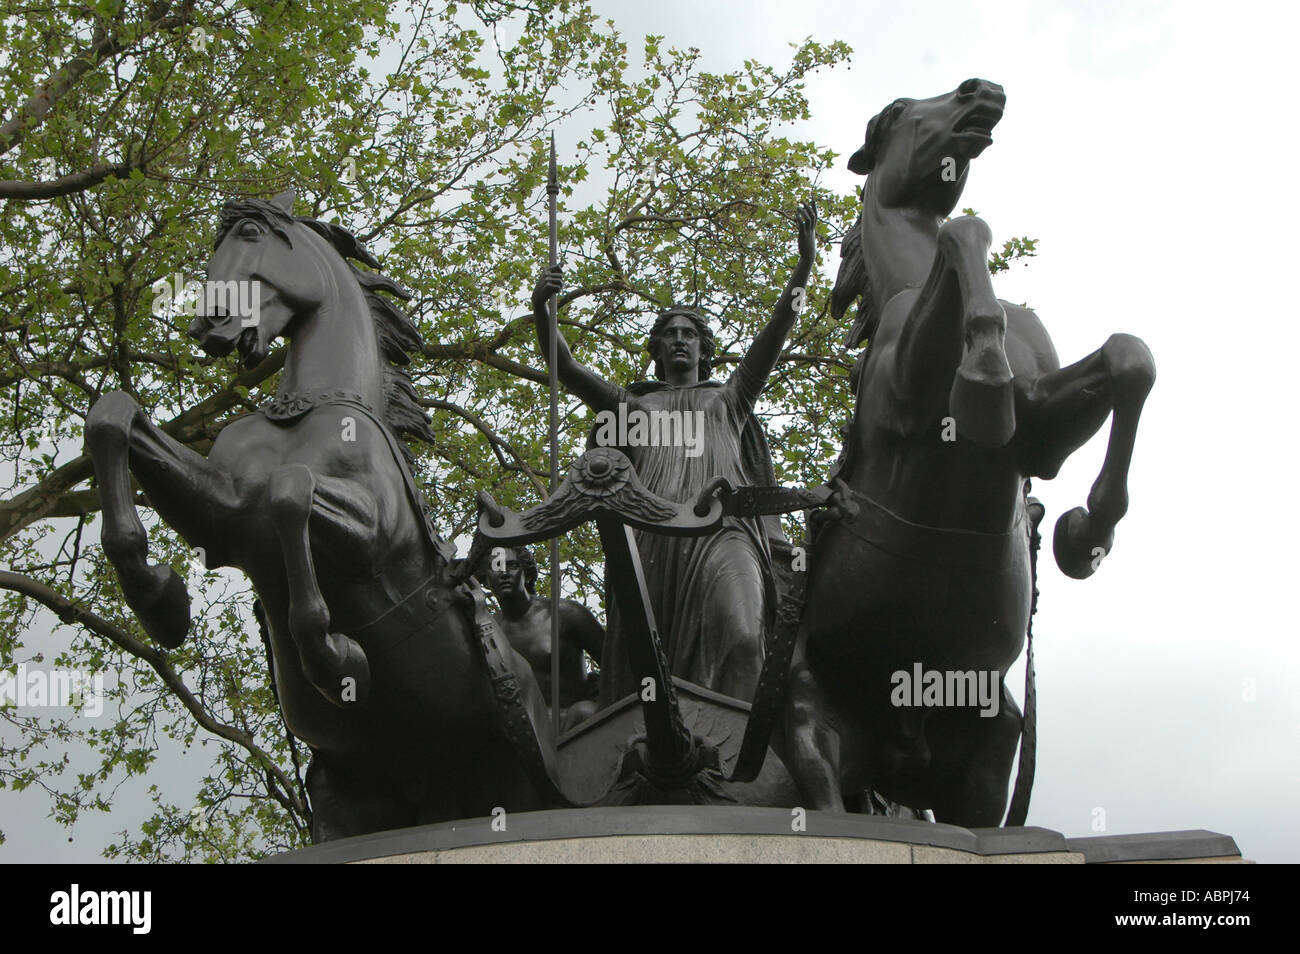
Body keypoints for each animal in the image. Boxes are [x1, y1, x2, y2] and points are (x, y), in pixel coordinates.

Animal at [85, 191, 553, 842]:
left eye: (250, 235)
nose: (208, 325)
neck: (306, 410)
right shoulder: (224, 516)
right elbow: (113, 415)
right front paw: (161, 600)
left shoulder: (373, 538)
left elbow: (290, 492)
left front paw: (334, 661)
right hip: (357, 799)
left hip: (522, 776)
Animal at [774, 82, 1154, 831]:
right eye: (898, 111)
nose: (984, 91)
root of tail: (899, 748)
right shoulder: (910, 400)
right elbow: (965, 231)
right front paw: (981, 376)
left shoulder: (1041, 431)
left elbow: (1129, 359)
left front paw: (1084, 534)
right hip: (811, 722)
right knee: (823, 792)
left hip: (989, 752)